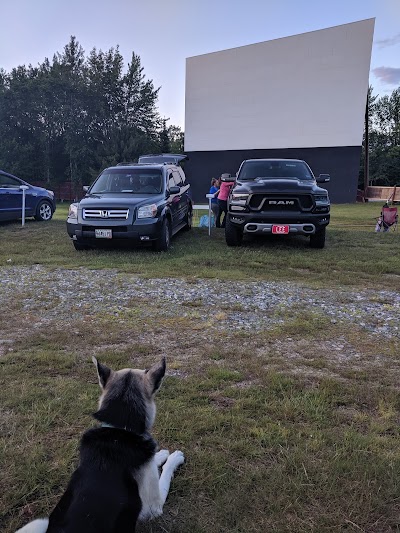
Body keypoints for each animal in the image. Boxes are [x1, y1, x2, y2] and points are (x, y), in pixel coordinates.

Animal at [15, 356, 184, 532]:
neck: (119, 427)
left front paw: (161, 454)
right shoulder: (153, 507)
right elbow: (165, 474)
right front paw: (173, 458)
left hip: (38, 523)